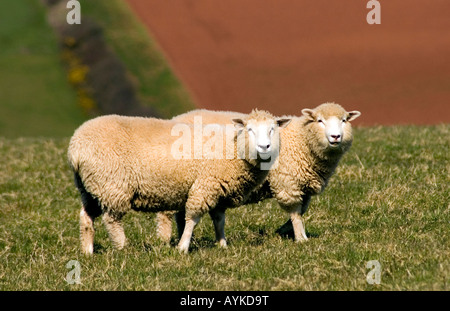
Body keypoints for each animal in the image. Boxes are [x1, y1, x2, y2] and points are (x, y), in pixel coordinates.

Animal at [67, 111, 292, 255]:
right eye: (250, 129)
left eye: (273, 129)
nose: (265, 147)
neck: (233, 148)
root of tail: (75, 149)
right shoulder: (204, 186)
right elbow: (192, 218)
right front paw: (183, 247)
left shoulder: (217, 191)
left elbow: (219, 221)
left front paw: (222, 245)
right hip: (112, 185)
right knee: (112, 220)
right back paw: (123, 248)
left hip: (89, 188)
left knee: (86, 216)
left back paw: (88, 251)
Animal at [156, 103, 360, 247]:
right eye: (320, 121)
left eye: (344, 120)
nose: (335, 137)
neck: (302, 140)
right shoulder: (288, 183)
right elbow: (296, 212)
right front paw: (300, 238)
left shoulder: (304, 185)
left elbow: (302, 210)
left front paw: (286, 230)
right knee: (166, 214)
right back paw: (165, 241)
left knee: (180, 212)